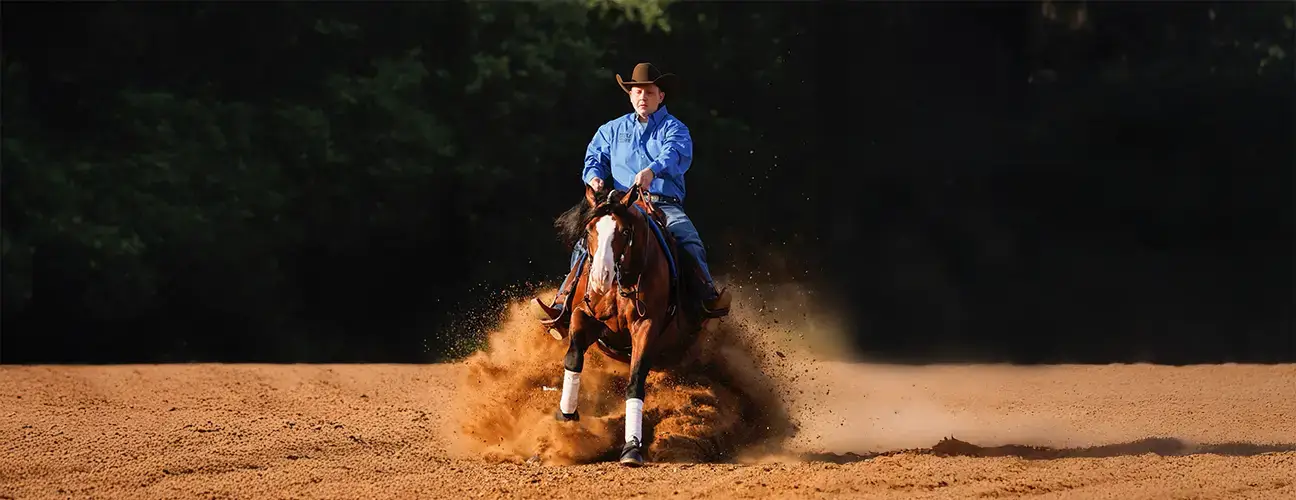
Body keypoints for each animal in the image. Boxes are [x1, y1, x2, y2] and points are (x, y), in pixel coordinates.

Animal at [548, 183, 710, 467]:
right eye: (589, 230)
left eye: (624, 231)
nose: (600, 278)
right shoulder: (583, 314)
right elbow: (574, 358)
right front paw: (566, 417)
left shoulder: (646, 327)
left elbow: (635, 381)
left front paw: (632, 447)